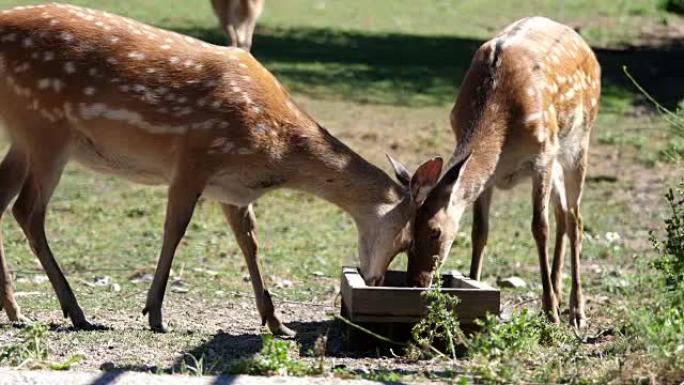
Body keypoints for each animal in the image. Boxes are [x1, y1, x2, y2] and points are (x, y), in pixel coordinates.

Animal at [0, 3, 444, 332]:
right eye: (408, 239)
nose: (376, 282)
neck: (277, 148)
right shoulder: (196, 156)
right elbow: (175, 230)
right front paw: (155, 313)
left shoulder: (233, 189)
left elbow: (251, 243)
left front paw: (276, 322)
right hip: (46, 129)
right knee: (27, 210)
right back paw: (74, 311)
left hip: (24, 136)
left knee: (4, 204)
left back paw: (17, 310)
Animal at [404, 15, 600, 328]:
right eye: (408, 229)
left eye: (435, 232)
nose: (416, 282)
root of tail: (584, 45)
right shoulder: (490, 179)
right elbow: (479, 231)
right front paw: (473, 282)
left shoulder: (543, 156)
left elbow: (539, 228)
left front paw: (550, 311)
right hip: (560, 156)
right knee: (562, 213)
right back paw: (560, 293)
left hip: (578, 143)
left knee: (575, 220)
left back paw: (576, 311)